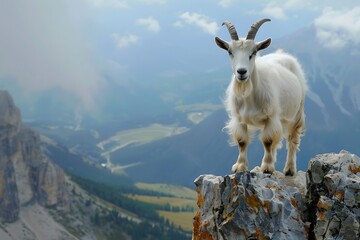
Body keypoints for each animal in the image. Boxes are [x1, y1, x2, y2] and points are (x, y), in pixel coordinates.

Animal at [215, 18, 308, 175]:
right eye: (230, 52)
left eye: (253, 52)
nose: (241, 72)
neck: (249, 96)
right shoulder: (239, 118)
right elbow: (242, 141)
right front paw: (240, 166)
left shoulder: (271, 117)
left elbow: (268, 141)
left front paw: (267, 167)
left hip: (297, 112)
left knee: (292, 139)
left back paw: (289, 169)